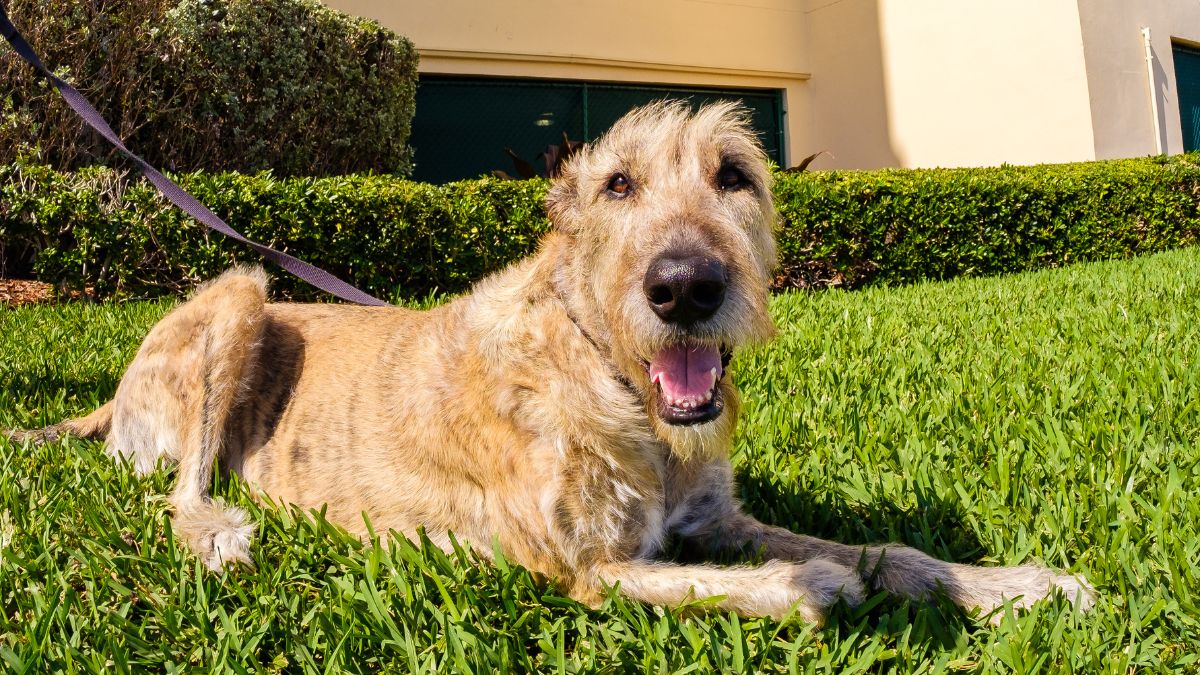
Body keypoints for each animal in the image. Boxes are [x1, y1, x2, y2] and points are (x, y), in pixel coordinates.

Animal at [11, 100, 1099, 619]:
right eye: (617, 185)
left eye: (734, 176)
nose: (685, 288)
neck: (608, 377)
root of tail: (109, 396)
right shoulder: (581, 566)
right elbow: (763, 579)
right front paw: (811, 586)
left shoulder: (713, 517)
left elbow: (889, 550)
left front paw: (1015, 584)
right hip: (236, 297)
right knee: (177, 491)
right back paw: (222, 532)